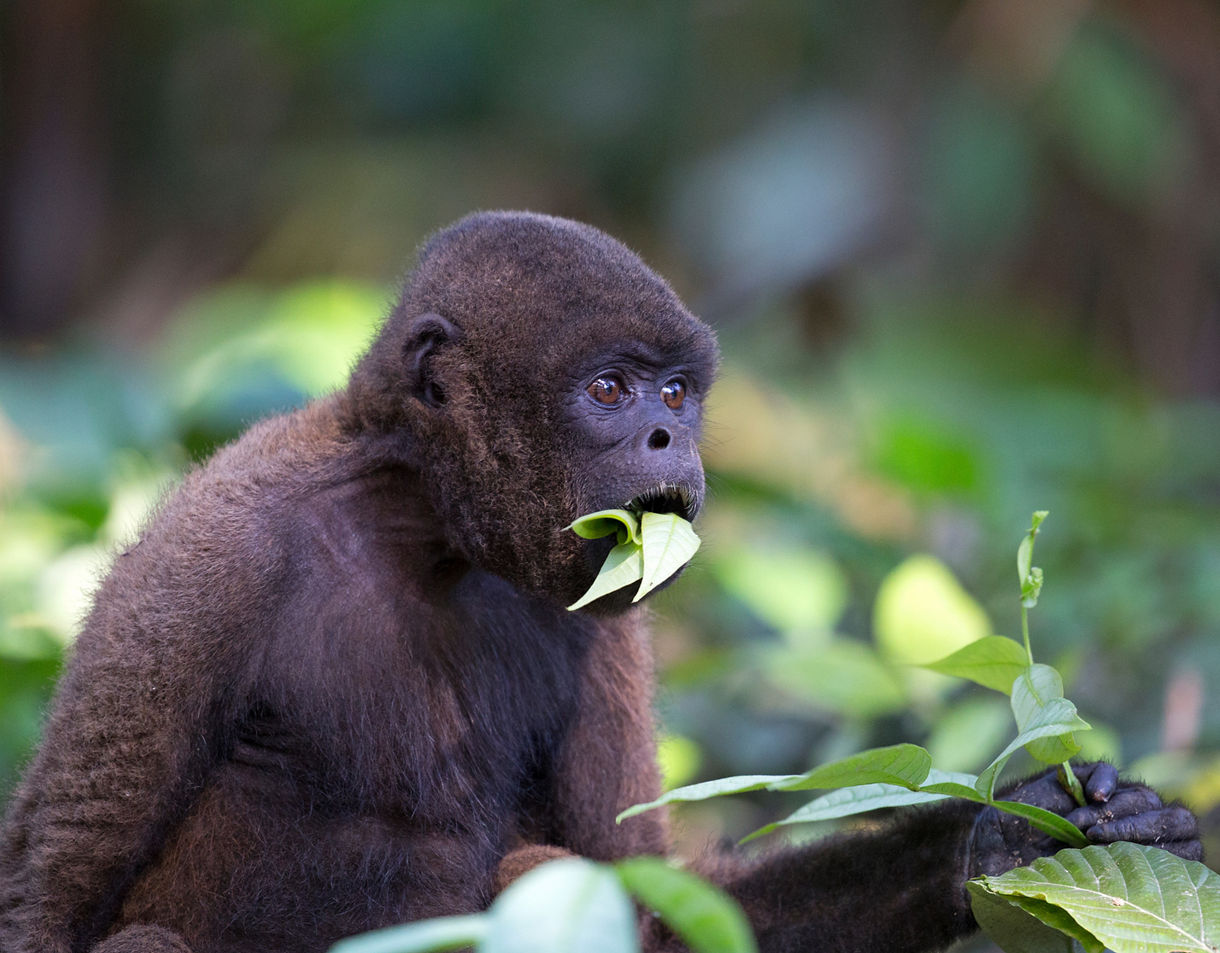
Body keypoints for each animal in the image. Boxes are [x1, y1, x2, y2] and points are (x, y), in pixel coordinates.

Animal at [0, 211, 1201, 953]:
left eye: (675, 391)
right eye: (610, 390)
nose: (672, 437)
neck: (426, 526)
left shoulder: (608, 621)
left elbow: (649, 884)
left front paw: (1007, 840)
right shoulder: (214, 552)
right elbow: (53, 876)